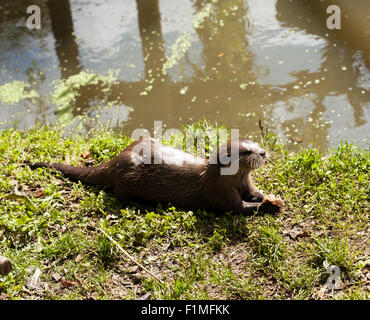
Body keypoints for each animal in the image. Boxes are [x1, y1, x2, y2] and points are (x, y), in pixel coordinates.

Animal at [28, 138, 284, 215]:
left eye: (256, 143)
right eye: (247, 152)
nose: (263, 152)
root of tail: (115, 161)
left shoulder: (246, 183)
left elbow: (254, 192)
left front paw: (268, 197)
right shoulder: (219, 194)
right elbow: (239, 207)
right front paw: (267, 206)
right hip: (128, 179)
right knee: (122, 196)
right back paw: (143, 205)